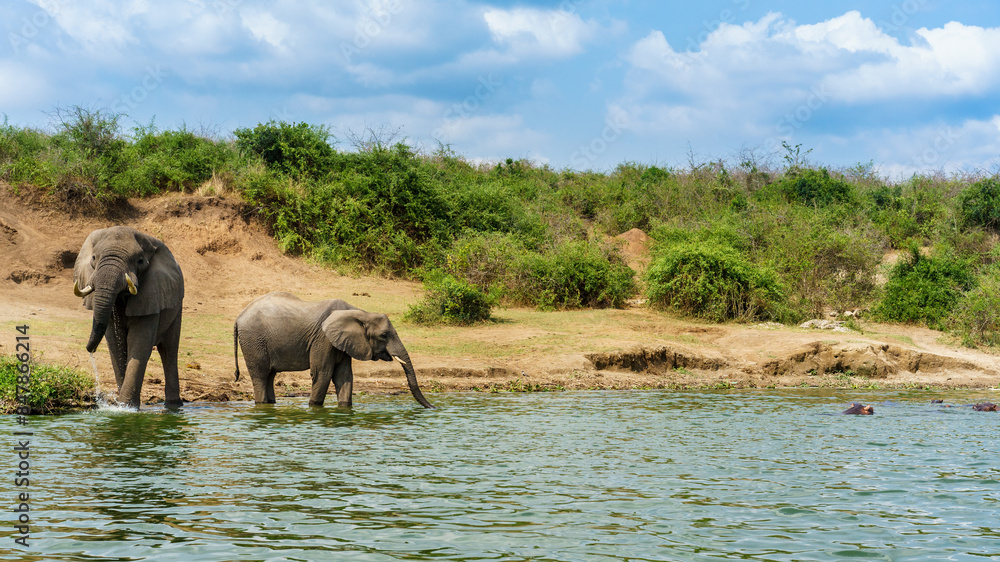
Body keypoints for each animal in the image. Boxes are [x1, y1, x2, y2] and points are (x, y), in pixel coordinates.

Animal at [73, 226, 184, 409]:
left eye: (140, 261)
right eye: (94, 258)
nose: (90, 350)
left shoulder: (151, 293)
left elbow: (139, 343)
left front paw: (126, 407)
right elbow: (115, 344)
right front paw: (121, 405)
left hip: (177, 306)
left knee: (169, 350)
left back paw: (174, 406)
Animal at [233, 292, 433, 409]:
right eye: (383, 335)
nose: (434, 408)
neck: (360, 312)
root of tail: (239, 316)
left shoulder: (342, 342)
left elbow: (344, 375)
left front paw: (344, 408)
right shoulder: (323, 339)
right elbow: (323, 373)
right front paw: (314, 408)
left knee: (270, 375)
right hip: (253, 341)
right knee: (260, 375)